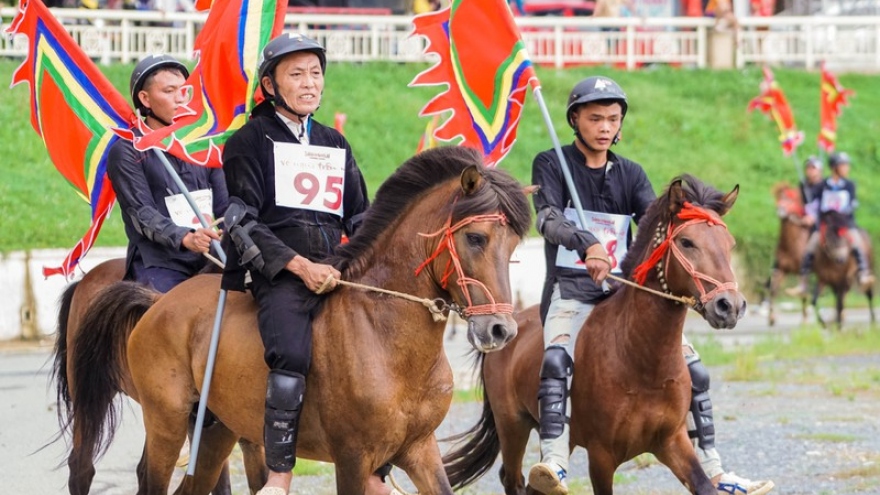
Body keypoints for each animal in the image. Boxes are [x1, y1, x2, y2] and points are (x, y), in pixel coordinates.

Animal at [444, 175, 744, 495]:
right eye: (687, 242)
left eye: (729, 244)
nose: (730, 306)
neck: (641, 360)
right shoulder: (602, 456)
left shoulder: (672, 442)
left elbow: (704, 485)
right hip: (512, 425)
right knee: (512, 477)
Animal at [756, 184, 812, 328]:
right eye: (779, 198)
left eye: (790, 199)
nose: (780, 210)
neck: (791, 246)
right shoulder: (781, 270)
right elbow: (773, 290)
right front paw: (771, 318)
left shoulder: (802, 271)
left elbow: (803, 292)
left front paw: (805, 320)